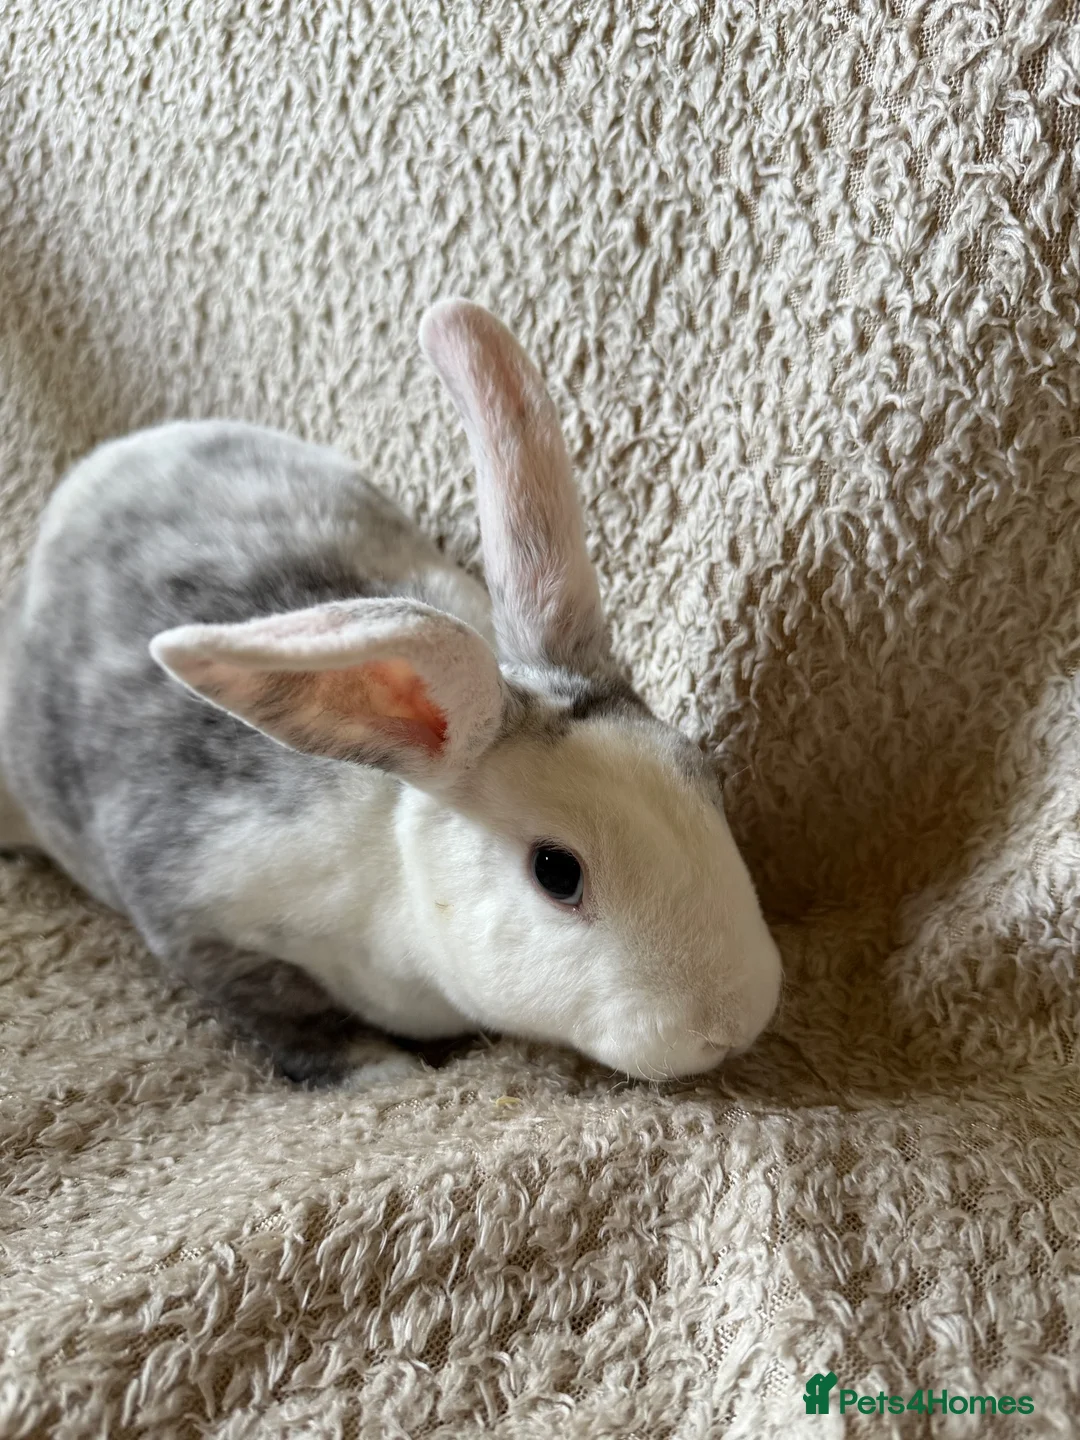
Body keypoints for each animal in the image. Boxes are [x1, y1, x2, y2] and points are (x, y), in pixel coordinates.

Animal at [0, 299, 782, 1085]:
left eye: (708, 780)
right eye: (557, 872)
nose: (729, 1027)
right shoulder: (195, 916)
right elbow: (287, 1018)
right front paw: (383, 1073)